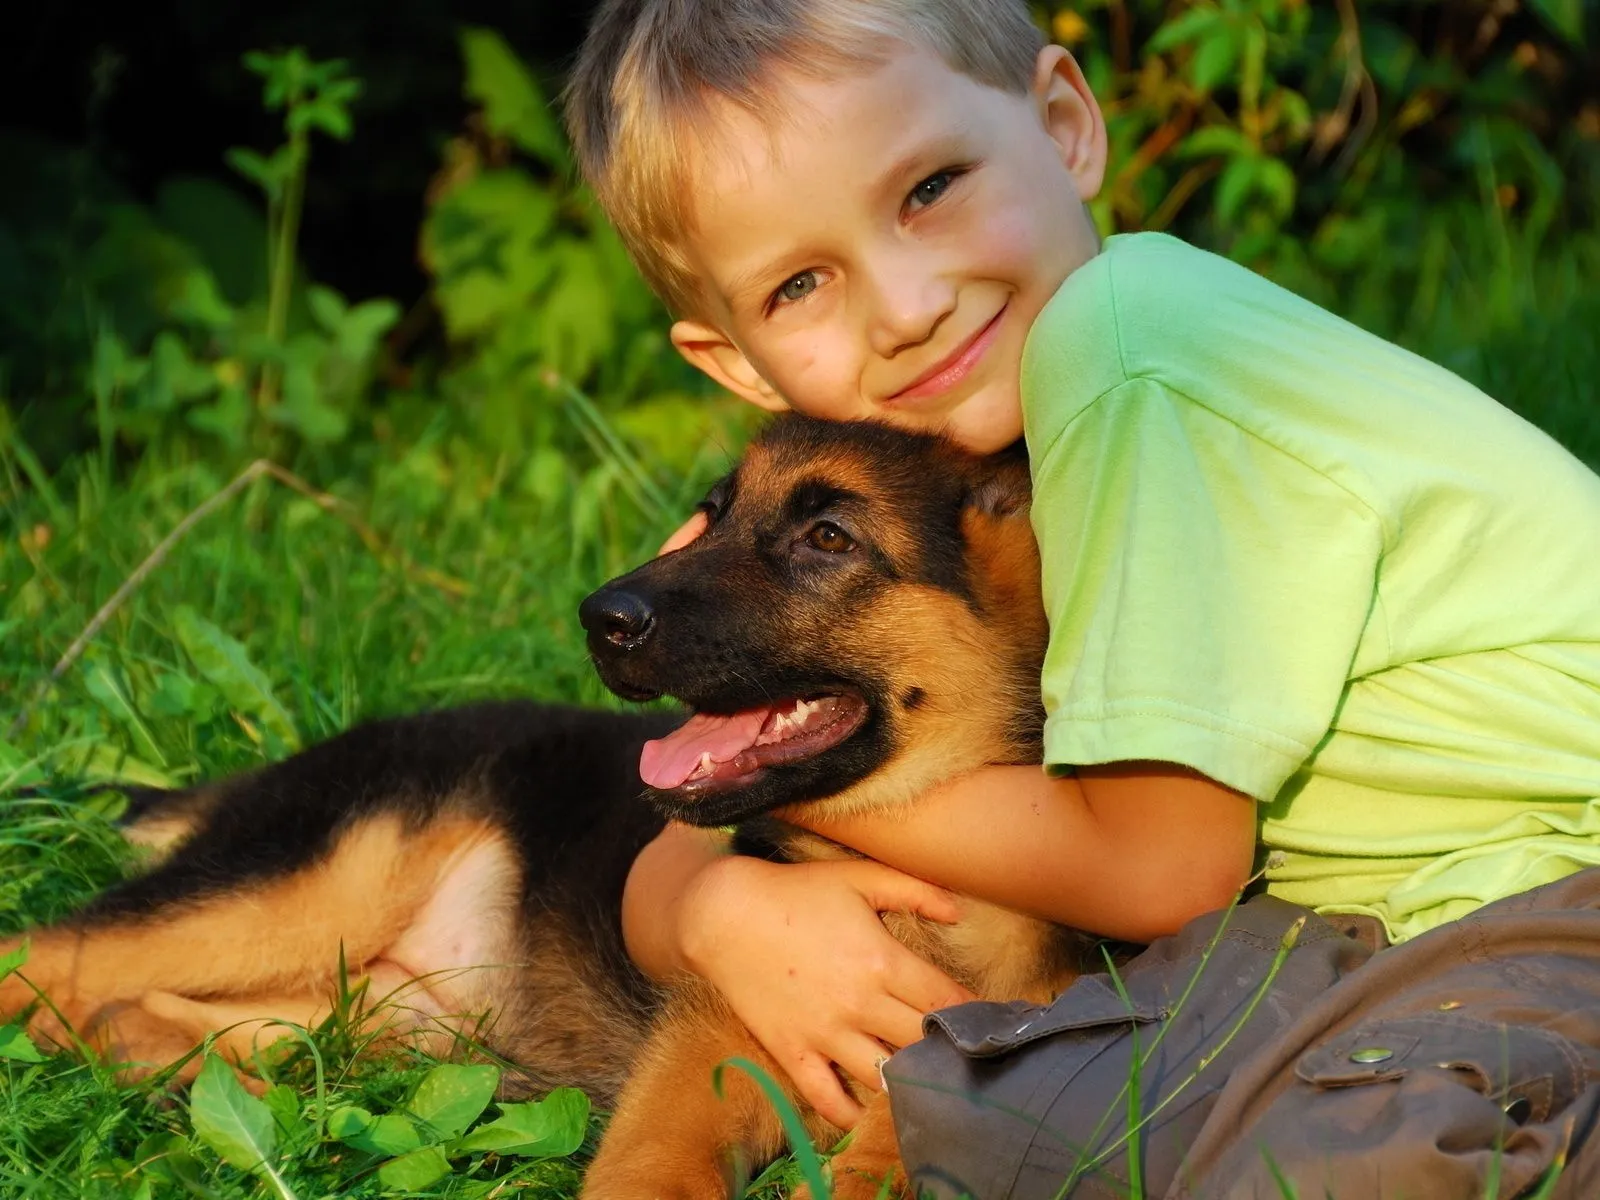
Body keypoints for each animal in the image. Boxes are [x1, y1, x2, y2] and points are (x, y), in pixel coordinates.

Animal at [0, 419, 1088, 1196]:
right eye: (711, 514)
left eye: (829, 537)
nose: (601, 619)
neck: (924, 886)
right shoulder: (710, 1050)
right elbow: (652, 1175)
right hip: (300, 890)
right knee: (46, 959)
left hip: (385, 1013)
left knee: (129, 1013)